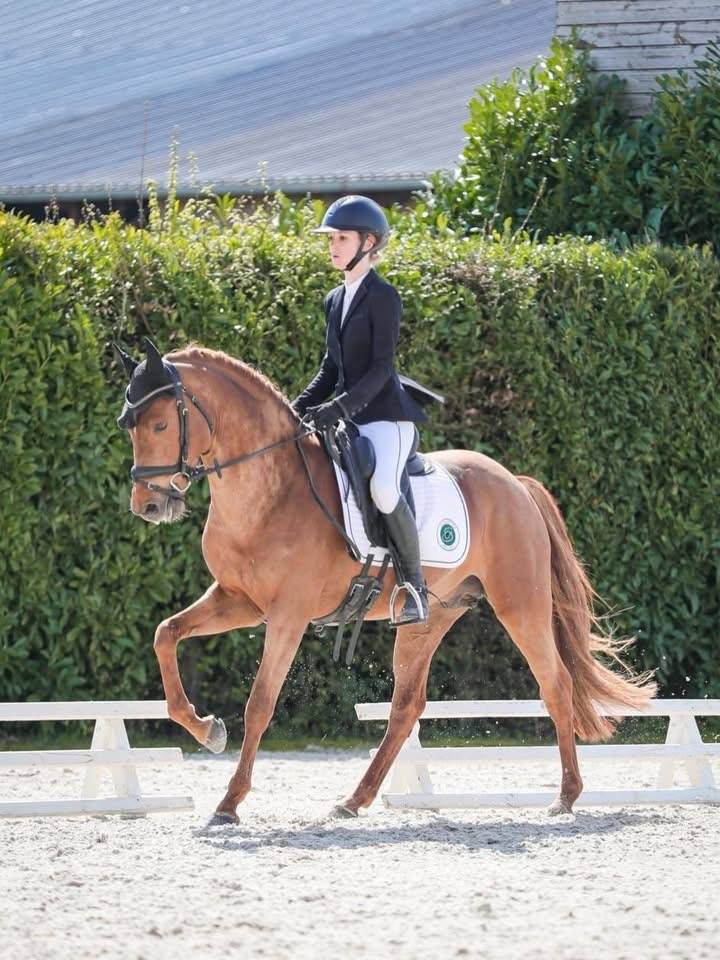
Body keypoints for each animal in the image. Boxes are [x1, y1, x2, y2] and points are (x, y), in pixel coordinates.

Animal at [116, 338, 656, 823]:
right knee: (406, 707)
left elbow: (260, 704)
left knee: (556, 683)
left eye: (161, 423)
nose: (147, 506)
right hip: (431, 617)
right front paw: (207, 730)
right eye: (131, 426)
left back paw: (565, 796)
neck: (267, 491)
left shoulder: (287, 615)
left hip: (519, 604)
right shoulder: (237, 600)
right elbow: (165, 634)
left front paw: (229, 803)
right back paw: (353, 800)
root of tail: (514, 482)